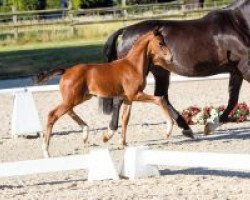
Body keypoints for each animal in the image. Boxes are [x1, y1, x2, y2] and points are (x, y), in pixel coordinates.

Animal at [37, 29, 174, 158]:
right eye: (160, 43)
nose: (171, 58)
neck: (133, 66)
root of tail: (66, 71)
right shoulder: (135, 94)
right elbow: (160, 99)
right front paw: (168, 130)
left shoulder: (128, 98)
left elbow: (125, 118)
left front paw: (122, 143)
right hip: (73, 99)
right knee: (53, 114)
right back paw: (46, 151)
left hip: (80, 98)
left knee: (69, 112)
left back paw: (85, 133)